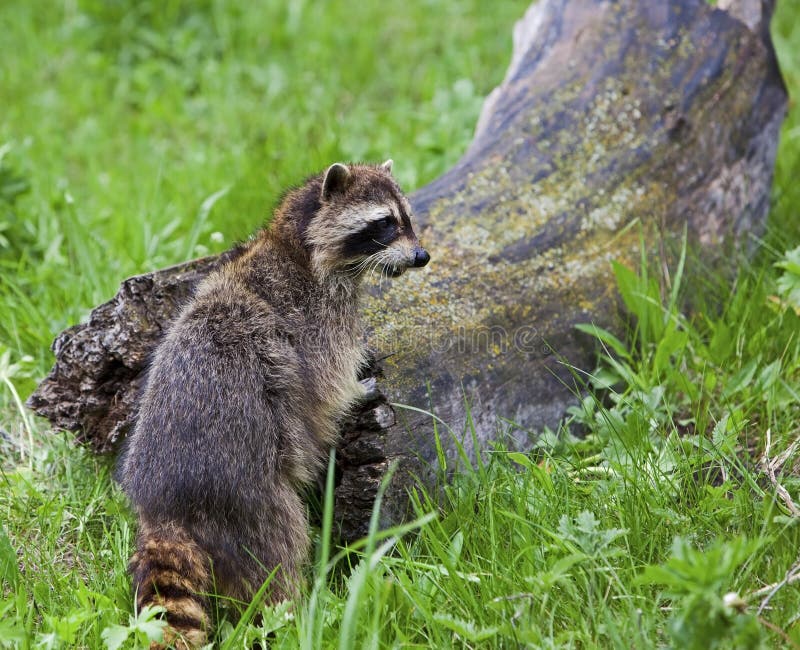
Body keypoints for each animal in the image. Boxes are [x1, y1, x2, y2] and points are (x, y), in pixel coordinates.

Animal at [118, 160, 429, 649]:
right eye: (384, 223)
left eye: (408, 219)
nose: (422, 257)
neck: (297, 244)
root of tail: (167, 507)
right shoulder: (315, 319)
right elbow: (327, 387)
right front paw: (358, 389)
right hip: (249, 495)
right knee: (279, 551)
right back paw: (292, 609)